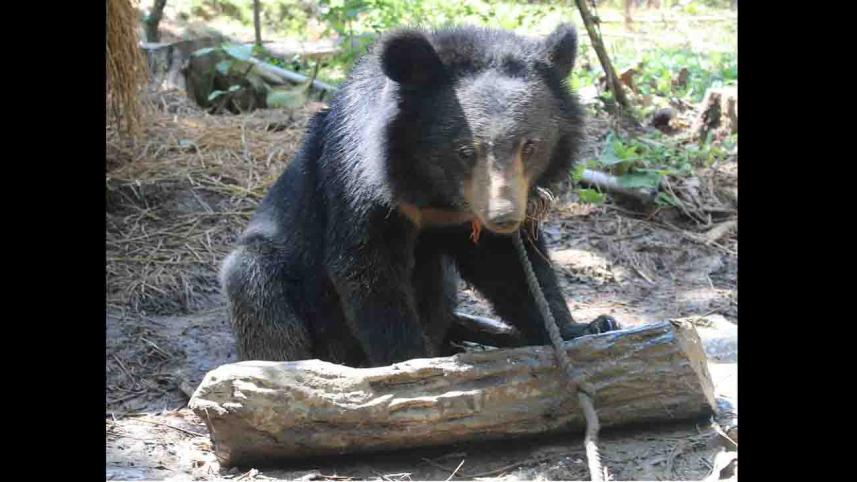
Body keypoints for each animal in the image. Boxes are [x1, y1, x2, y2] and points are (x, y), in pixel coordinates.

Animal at [220, 23, 619, 368]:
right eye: (465, 151)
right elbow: (367, 269)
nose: (504, 217)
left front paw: (587, 326)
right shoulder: (363, 184)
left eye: (530, 146)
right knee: (256, 287)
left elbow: (510, 269)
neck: (437, 195)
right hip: (274, 274)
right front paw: (410, 360)